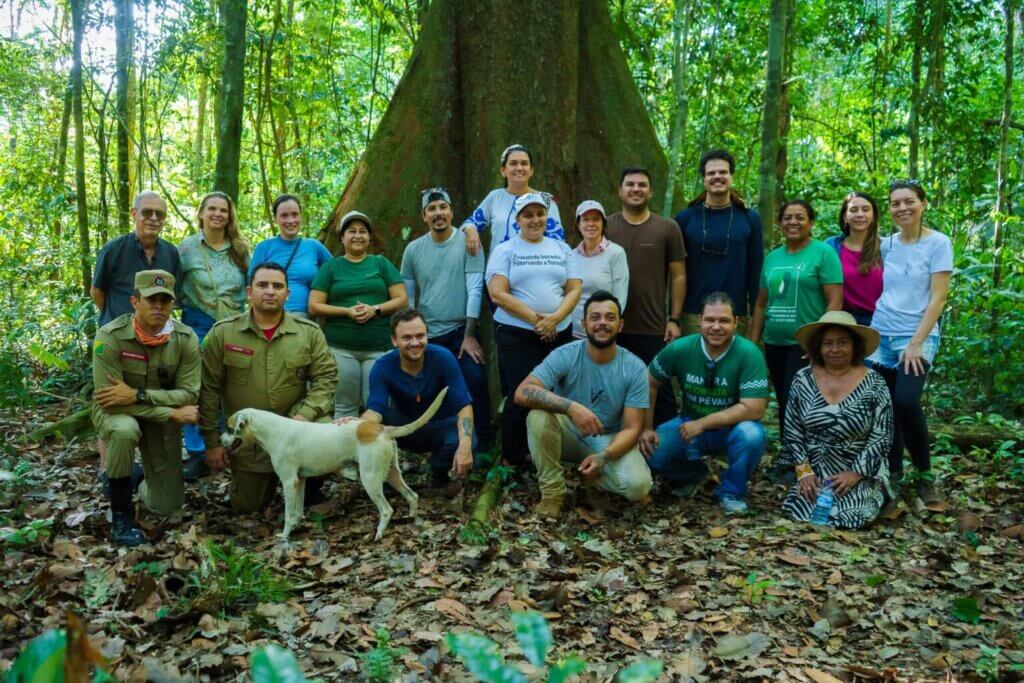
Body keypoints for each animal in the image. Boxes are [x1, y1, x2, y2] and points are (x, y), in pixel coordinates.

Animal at [224, 389, 448, 540]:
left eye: (228, 427)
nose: (219, 439)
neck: (272, 430)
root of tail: (381, 428)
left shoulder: (288, 482)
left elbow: (288, 513)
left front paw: (285, 535)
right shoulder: (300, 481)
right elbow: (297, 510)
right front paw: (298, 525)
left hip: (370, 478)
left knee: (387, 509)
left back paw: (378, 534)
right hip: (392, 473)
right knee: (412, 495)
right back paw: (411, 518)